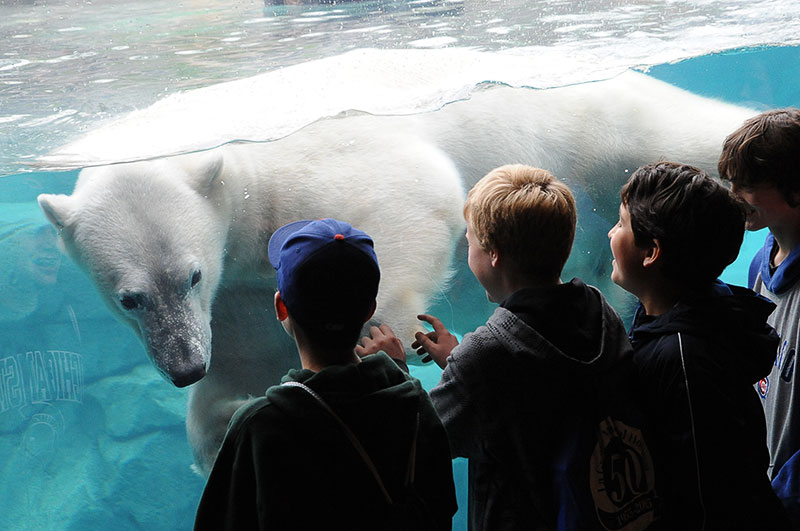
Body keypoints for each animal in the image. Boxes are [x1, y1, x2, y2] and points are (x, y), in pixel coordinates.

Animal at [38, 70, 755, 475]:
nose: (185, 364)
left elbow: (411, 193)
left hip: (597, 123)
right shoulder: (237, 288)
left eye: (188, 275)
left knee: (685, 134)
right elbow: (246, 352)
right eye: (130, 298)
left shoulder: (302, 174)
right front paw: (222, 421)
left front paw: (378, 345)